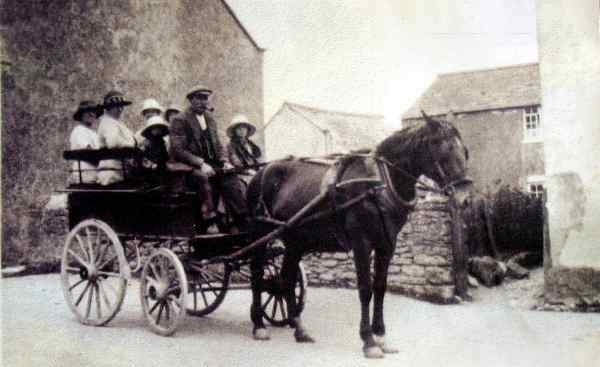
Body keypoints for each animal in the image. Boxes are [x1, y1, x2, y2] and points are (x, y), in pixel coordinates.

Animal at [246, 113, 472, 360]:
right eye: (443, 149)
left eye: (465, 151)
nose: (465, 198)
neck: (378, 182)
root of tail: (260, 172)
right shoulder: (361, 242)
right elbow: (365, 289)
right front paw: (368, 341)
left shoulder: (387, 244)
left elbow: (380, 287)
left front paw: (381, 336)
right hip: (260, 234)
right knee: (257, 274)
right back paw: (259, 325)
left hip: (295, 241)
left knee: (286, 279)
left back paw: (299, 329)